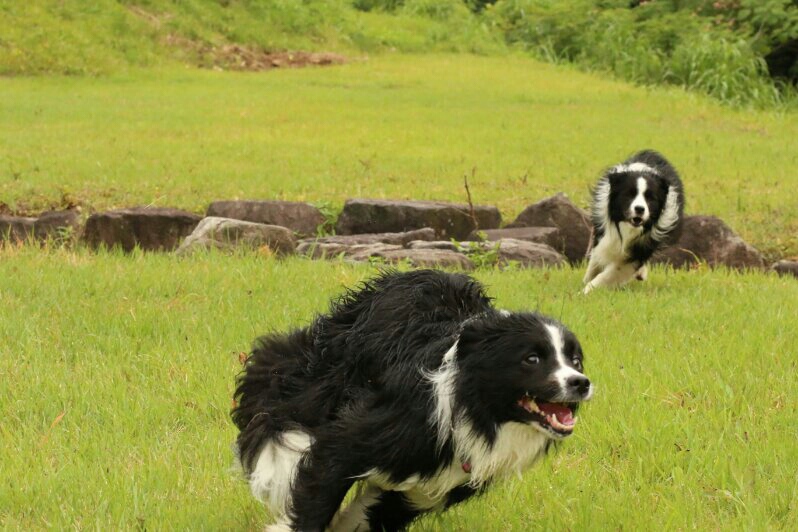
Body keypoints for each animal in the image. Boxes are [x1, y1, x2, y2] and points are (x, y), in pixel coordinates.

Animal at [232, 269, 593, 531]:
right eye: (532, 359)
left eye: (575, 360)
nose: (581, 383)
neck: (472, 411)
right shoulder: (355, 437)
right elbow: (317, 498)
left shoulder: (422, 492)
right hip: (327, 374)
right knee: (276, 378)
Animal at [583, 150, 685, 294]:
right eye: (629, 194)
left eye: (650, 198)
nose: (640, 209)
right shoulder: (602, 230)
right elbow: (597, 254)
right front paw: (588, 280)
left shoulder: (644, 243)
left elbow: (616, 270)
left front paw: (588, 289)